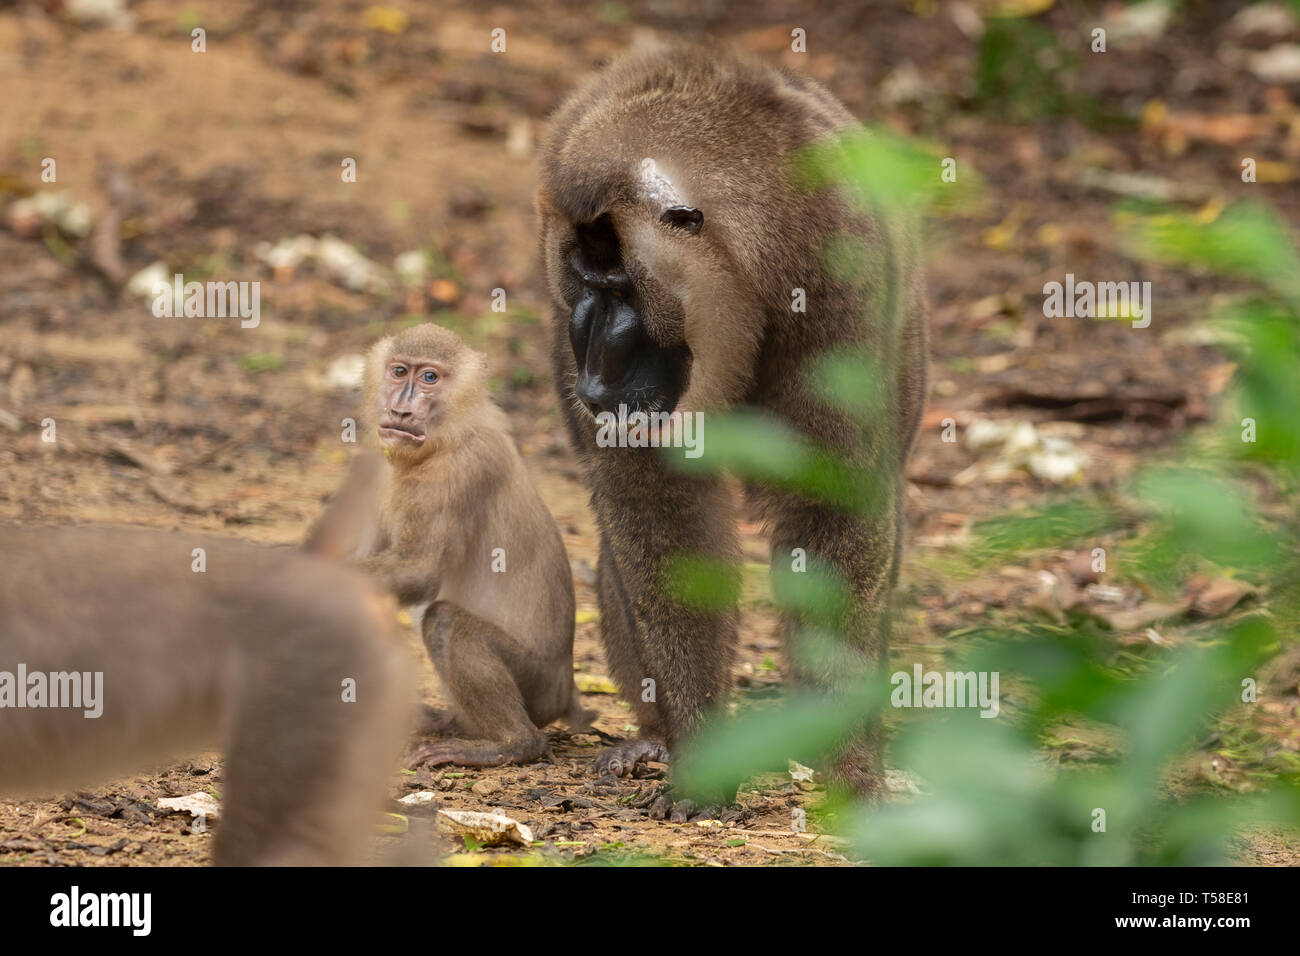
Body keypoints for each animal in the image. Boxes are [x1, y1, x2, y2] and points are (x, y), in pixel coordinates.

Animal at [310, 322, 586, 769]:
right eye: (399, 371)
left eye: (429, 378)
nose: (401, 409)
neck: (443, 438)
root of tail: (565, 691)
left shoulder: (455, 471)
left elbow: (419, 573)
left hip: (536, 682)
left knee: (445, 621)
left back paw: (513, 744)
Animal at [537, 46, 928, 806]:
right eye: (583, 282)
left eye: (620, 287)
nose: (591, 373)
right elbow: (663, 510)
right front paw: (701, 758)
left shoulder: (842, 274)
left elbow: (832, 505)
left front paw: (851, 771)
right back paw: (655, 738)